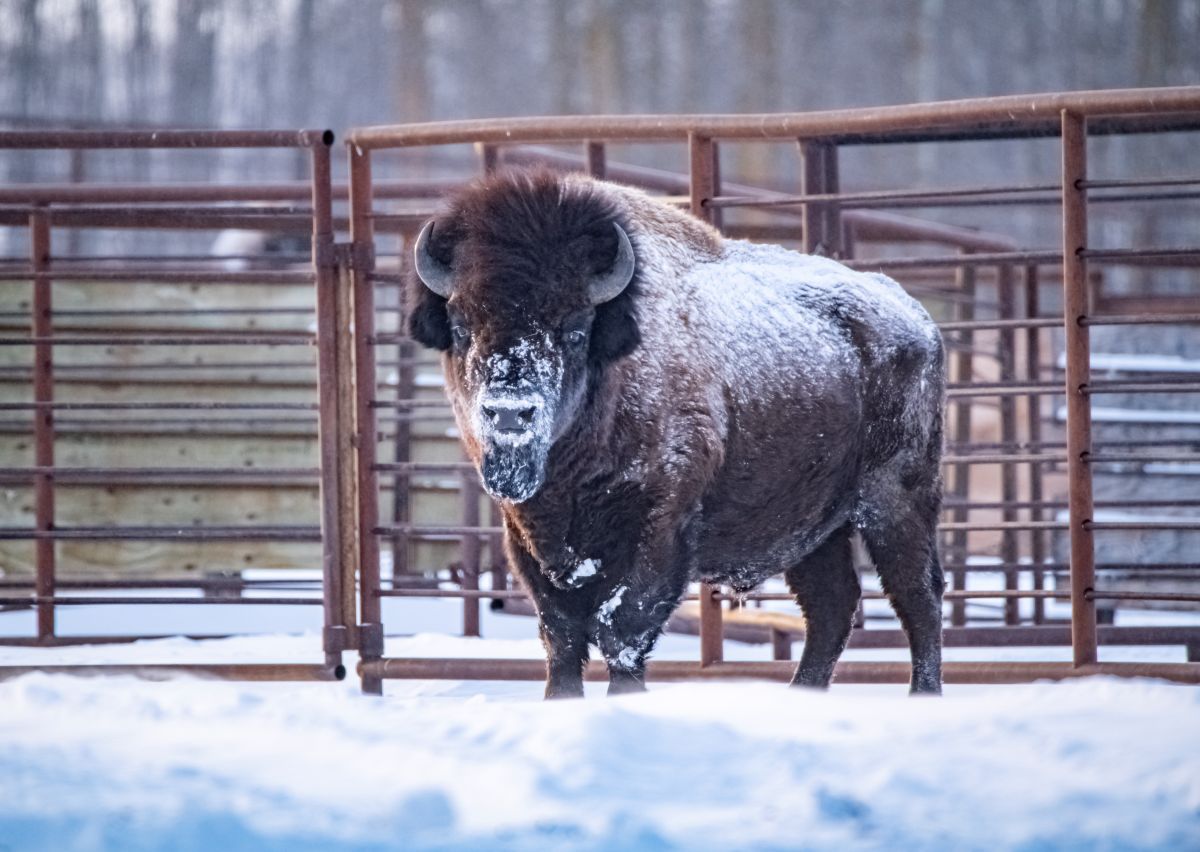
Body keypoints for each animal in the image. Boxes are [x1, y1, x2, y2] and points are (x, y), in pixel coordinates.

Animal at [408, 169, 945, 697]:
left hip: (895, 502)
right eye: (460, 326)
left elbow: (622, 628)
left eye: (575, 329)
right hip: (818, 528)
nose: (509, 412)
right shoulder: (528, 539)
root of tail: (914, 314)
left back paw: (923, 694)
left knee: (918, 595)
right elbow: (561, 638)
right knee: (832, 606)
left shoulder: (662, 525)